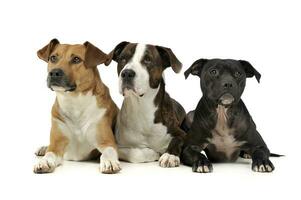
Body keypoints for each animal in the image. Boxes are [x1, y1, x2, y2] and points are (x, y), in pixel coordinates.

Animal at [33, 38, 120, 173]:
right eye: (53, 58)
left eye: (76, 59)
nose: (54, 73)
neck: (75, 102)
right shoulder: (57, 143)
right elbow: (50, 153)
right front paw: (44, 161)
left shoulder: (106, 141)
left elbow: (108, 152)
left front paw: (109, 161)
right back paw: (43, 148)